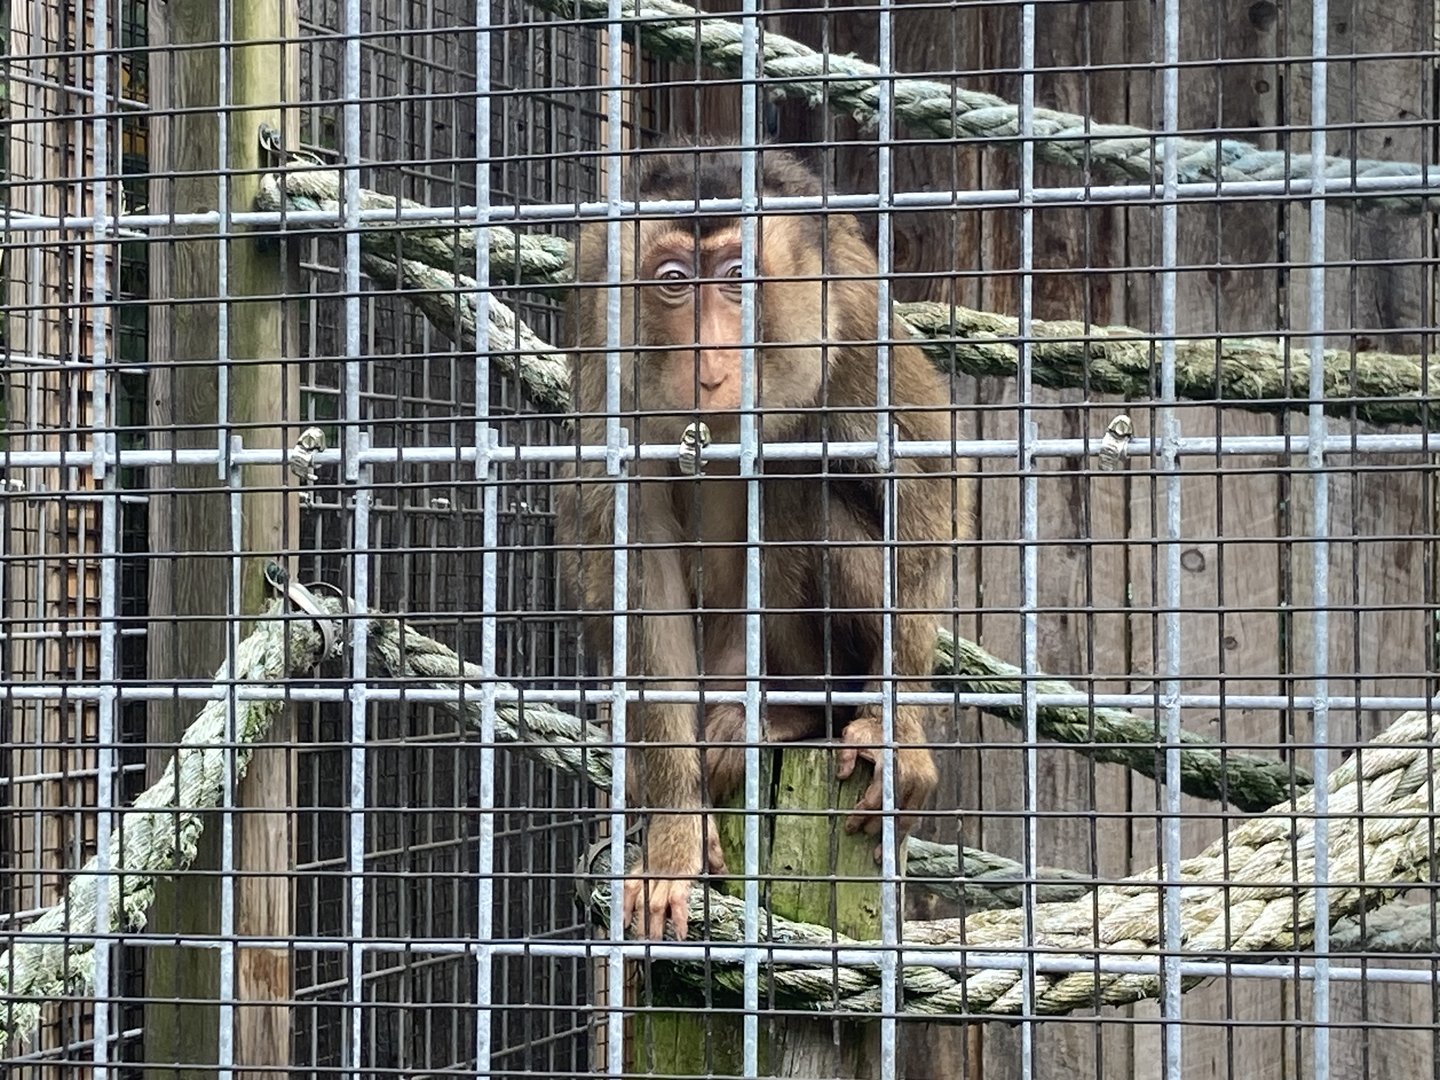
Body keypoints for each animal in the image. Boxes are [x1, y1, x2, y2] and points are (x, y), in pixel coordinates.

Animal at [554, 142, 972, 941]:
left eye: (739, 277)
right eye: (674, 284)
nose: (710, 357)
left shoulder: (849, 301)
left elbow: (928, 475)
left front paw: (897, 731)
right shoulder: (599, 324)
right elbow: (629, 545)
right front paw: (675, 828)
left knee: (795, 478)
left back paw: (790, 712)